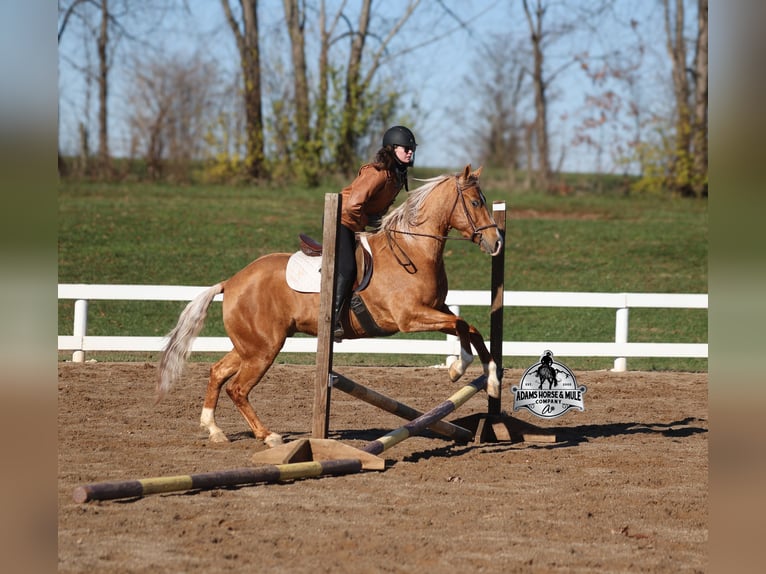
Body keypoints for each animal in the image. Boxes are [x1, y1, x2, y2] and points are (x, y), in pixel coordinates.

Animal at [157, 164, 504, 447]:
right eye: (475, 202)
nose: (497, 242)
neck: (413, 248)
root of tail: (231, 281)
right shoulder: (409, 318)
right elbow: (463, 325)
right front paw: (461, 369)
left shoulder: (436, 308)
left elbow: (471, 329)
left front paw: (490, 379)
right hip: (263, 349)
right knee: (238, 388)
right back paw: (267, 435)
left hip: (250, 346)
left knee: (218, 372)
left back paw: (214, 429)